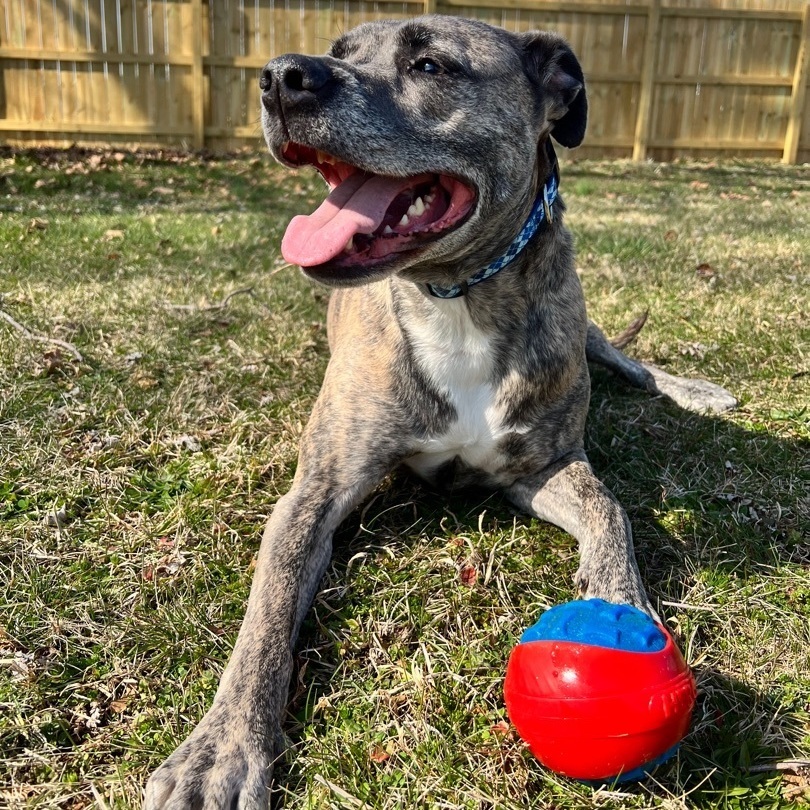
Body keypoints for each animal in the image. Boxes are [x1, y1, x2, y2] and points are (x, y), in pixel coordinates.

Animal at [142, 14, 736, 808]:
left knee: (626, 359)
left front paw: (622, 605)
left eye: (430, 65)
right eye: (338, 53)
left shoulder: (545, 465)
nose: (280, 77)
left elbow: (611, 510)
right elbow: (265, 616)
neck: (456, 297)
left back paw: (695, 389)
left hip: (584, 327)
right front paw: (221, 751)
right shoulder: (315, 493)